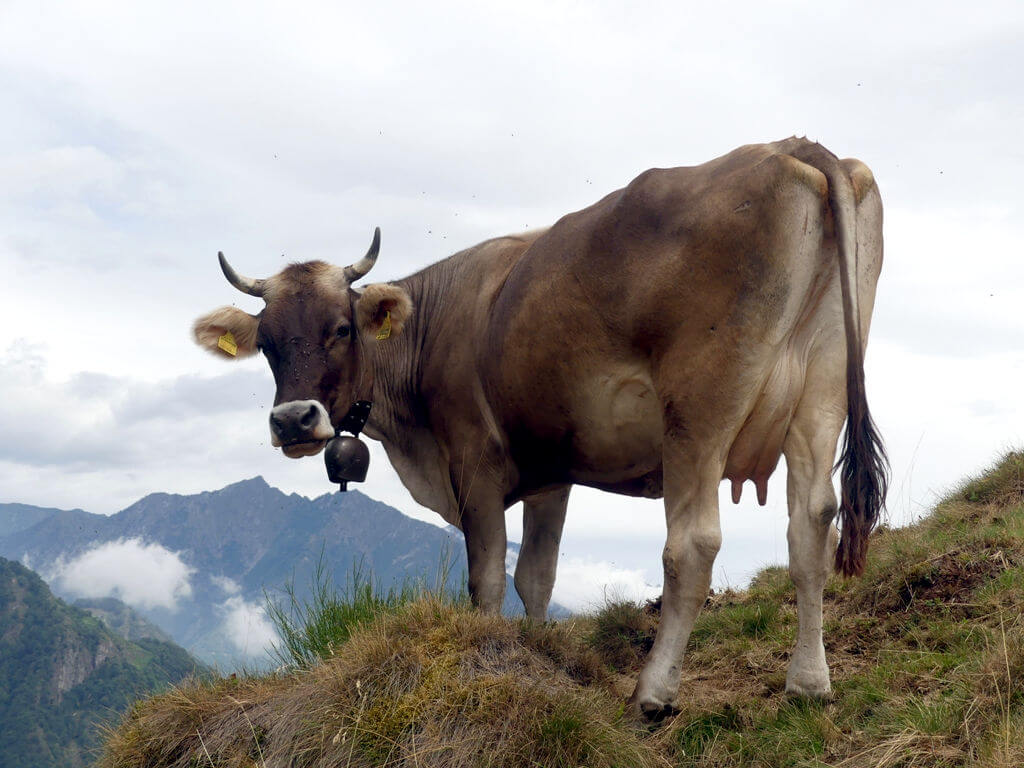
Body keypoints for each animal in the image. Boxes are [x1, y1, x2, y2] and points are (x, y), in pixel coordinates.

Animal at [193, 137, 887, 719]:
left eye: (342, 328)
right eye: (267, 343)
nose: (293, 420)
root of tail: (792, 146)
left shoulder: (473, 464)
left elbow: (487, 577)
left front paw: (490, 659)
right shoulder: (551, 472)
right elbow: (537, 575)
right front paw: (537, 654)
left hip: (700, 409)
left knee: (692, 546)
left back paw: (654, 692)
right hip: (821, 391)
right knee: (811, 525)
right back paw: (808, 683)